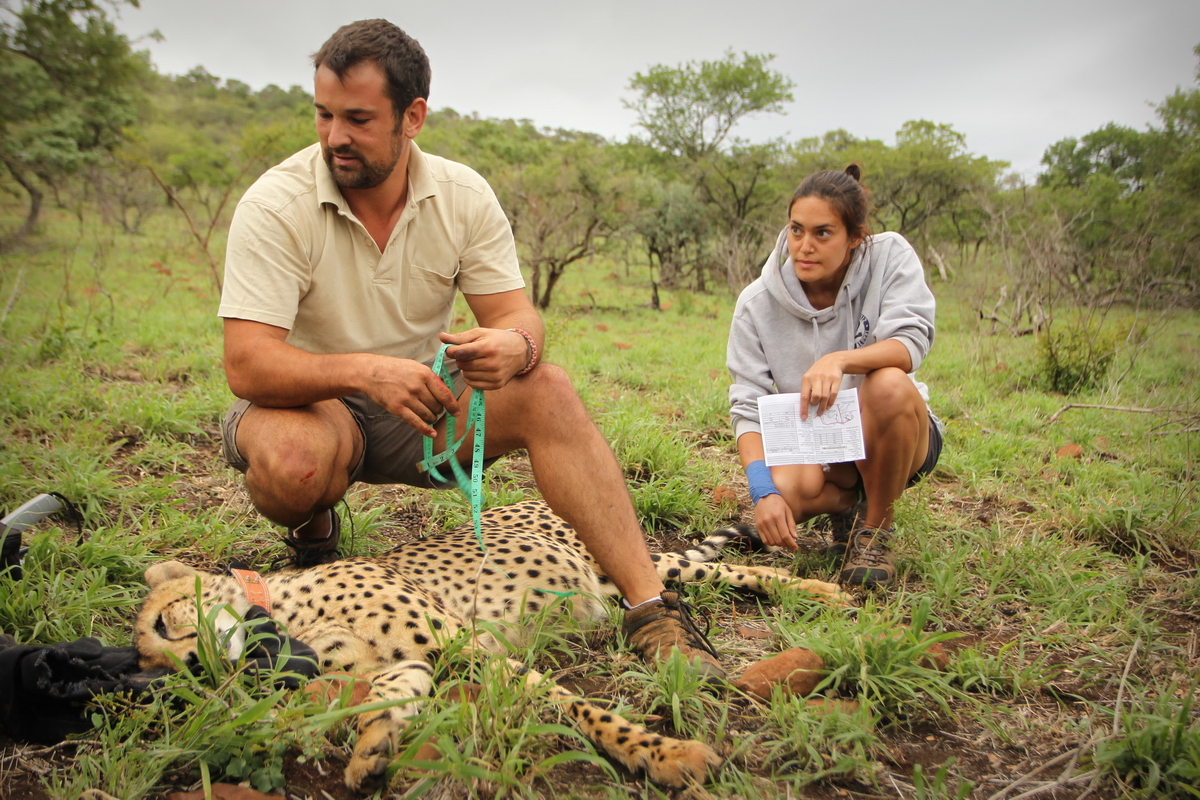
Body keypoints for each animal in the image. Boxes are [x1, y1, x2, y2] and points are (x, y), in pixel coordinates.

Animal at [134, 499, 845, 792]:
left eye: (165, 625)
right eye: (152, 665)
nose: (190, 665)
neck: (283, 623)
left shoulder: (469, 643)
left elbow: (572, 706)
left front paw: (660, 753)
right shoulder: (413, 658)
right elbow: (390, 689)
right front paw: (372, 748)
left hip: (631, 564)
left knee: (729, 568)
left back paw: (825, 592)